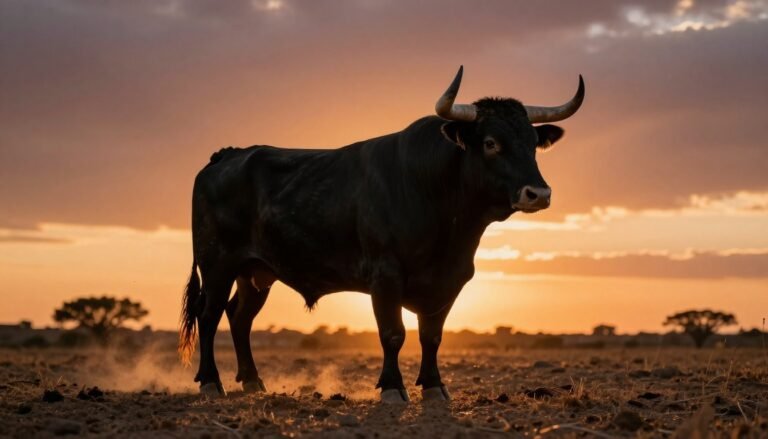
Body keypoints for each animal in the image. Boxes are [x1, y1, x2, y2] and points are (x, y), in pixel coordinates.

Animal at [179, 66, 585, 402]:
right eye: (491, 143)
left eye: (533, 144)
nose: (539, 193)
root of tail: (227, 155)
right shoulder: (385, 275)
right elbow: (393, 333)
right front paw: (392, 388)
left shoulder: (451, 280)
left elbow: (431, 335)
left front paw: (434, 387)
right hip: (217, 264)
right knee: (209, 315)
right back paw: (211, 382)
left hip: (257, 272)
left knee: (239, 317)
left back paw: (252, 381)